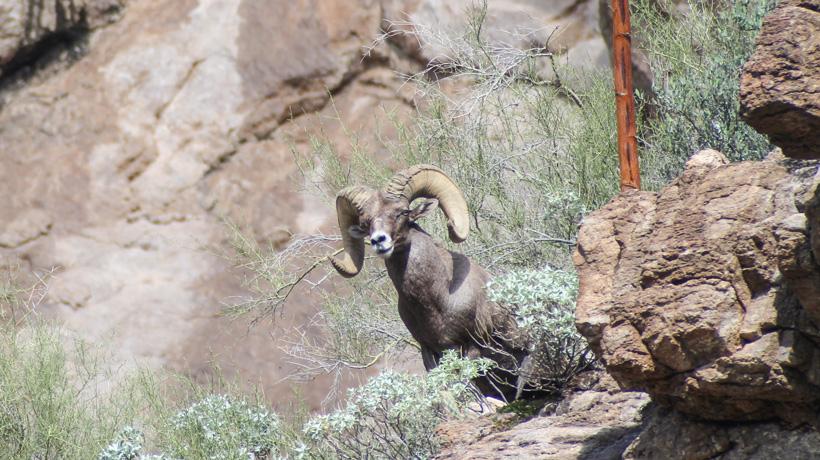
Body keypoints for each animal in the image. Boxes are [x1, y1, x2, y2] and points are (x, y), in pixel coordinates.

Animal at [329, 164, 531, 401]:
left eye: (403, 212)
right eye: (366, 223)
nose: (379, 241)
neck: (437, 299)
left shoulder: (472, 345)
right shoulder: (428, 351)